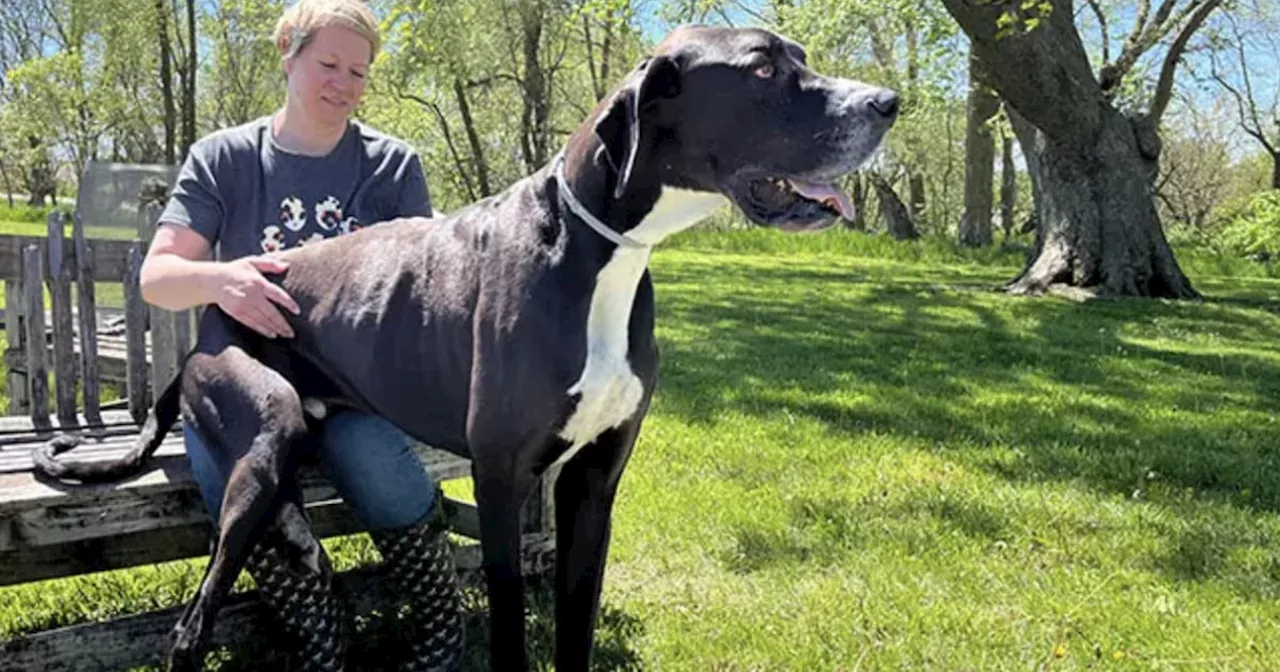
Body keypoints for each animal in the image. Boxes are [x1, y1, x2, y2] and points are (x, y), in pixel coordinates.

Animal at [40, 23, 901, 665]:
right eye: (761, 69)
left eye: (799, 57)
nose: (889, 102)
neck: (600, 250)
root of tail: (210, 322)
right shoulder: (501, 477)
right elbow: (513, 625)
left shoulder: (593, 484)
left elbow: (578, 621)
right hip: (262, 415)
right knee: (196, 619)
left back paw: (300, 542)